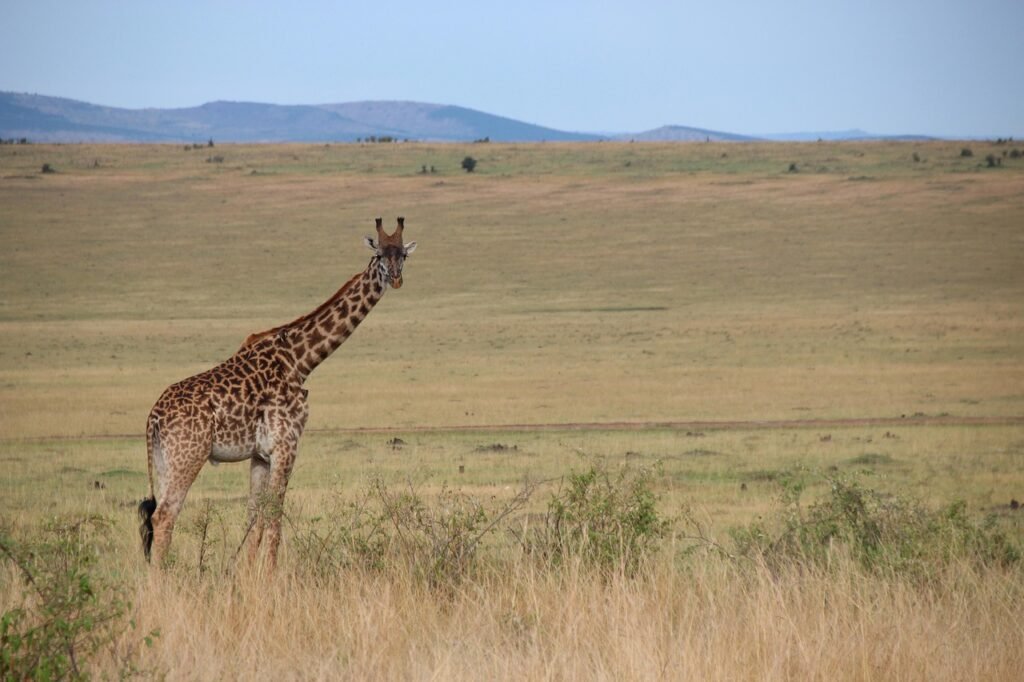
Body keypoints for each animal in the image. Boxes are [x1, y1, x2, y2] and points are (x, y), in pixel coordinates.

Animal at [138, 217, 417, 569]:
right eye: (379, 255)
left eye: (403, 256)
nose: (396, 279)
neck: (300, 359)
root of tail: (154, 417)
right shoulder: (287, 445)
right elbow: (274, 516)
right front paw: (270, 575)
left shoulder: (260, 454)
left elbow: (254, 515)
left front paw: (247, 574)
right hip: (188, 456)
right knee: (164, 516)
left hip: (163, 460)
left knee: (155, 517)